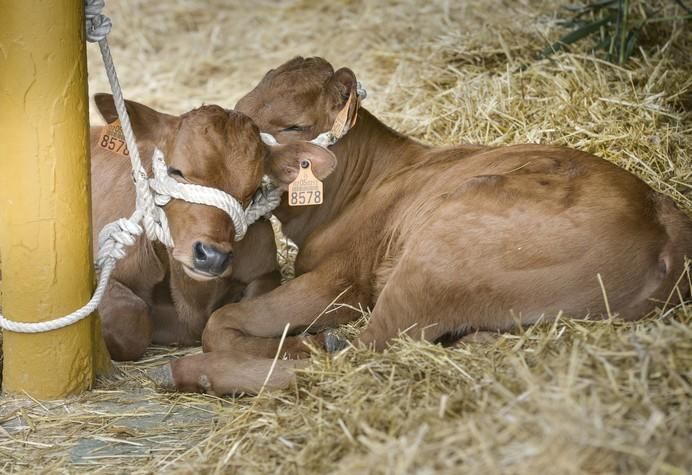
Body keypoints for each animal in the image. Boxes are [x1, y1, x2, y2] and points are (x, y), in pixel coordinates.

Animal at [91, 93, 336, 360]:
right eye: (175, 171)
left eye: (253, 191)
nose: (212, 257)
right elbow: (132, 319)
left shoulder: (266, 273)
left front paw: (309, 344)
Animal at [164, 57, 692, 396]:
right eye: (244, 102)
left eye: (292, 125)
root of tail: (664, 224)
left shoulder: (341, 282)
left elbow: (220, 322)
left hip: (438, 254)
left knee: (359, 359)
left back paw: (190, 370)